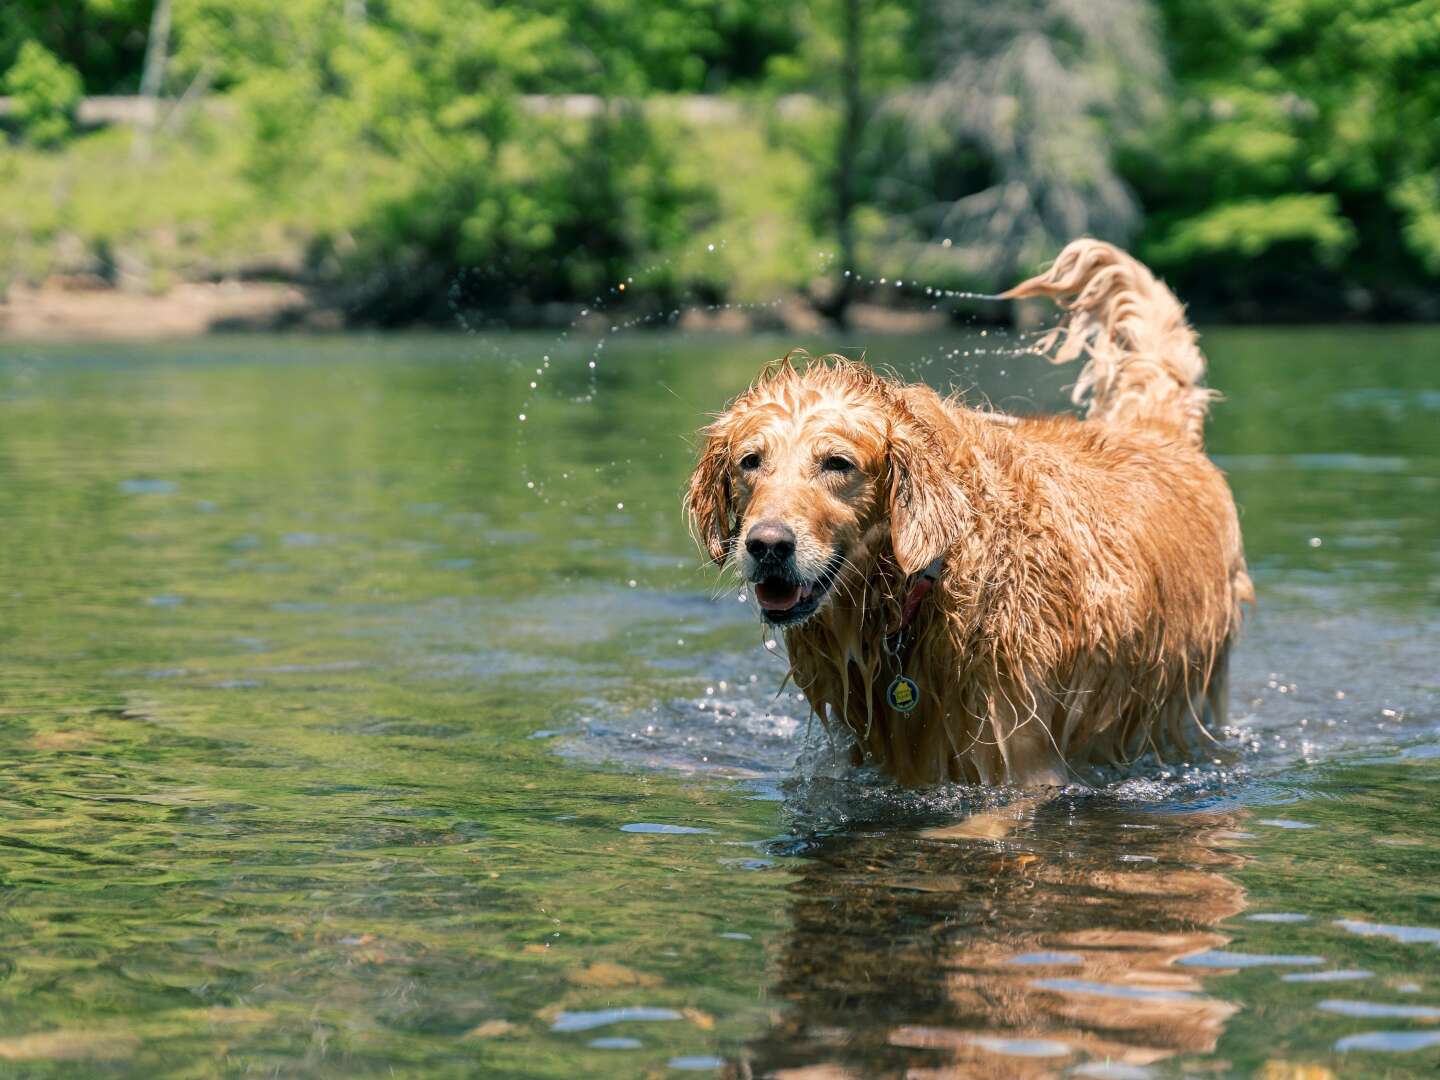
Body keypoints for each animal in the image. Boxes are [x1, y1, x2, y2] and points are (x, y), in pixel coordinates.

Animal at [685, 243, 1249, 789]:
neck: (922, 579)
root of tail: (1154, 429)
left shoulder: (1018, 754)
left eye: (837, 463)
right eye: (749, 461)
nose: (767, 546)